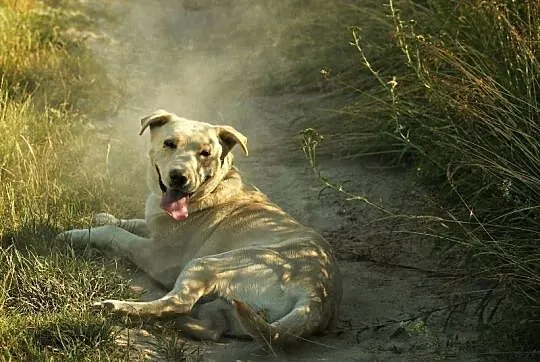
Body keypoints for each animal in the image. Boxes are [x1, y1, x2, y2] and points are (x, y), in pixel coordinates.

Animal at [59, 109, 342, 346]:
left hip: (208, 263)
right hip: (225, 304)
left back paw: (119, 307)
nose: (179, 177)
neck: (215, 186)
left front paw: (76, 234)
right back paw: (179, 324)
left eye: (205, 153)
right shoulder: (155, 227)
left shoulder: (158, 255)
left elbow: (117, 235)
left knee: (178, 302)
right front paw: (102, 217)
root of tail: (317, 295)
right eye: (169, 143)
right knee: (211, 327)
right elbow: (131, 222)